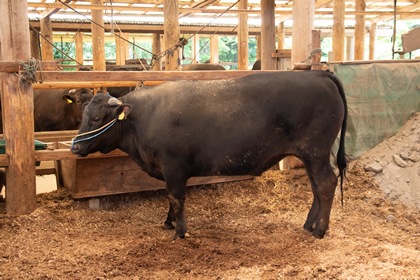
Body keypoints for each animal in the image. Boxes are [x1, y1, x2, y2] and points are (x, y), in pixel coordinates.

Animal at [70, 71, 346, 240]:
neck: (144, 117)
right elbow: (170, 198)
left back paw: (320, 230)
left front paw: (180, 232)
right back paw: (309, 225)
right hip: (312, 157)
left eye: (96, 118)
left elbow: (176, 197)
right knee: (317, 187)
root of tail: (318, 74)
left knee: (325, 185)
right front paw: (170, 222)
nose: (75, 147)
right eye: (83, 115)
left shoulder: (174, 166)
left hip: (315, 153)